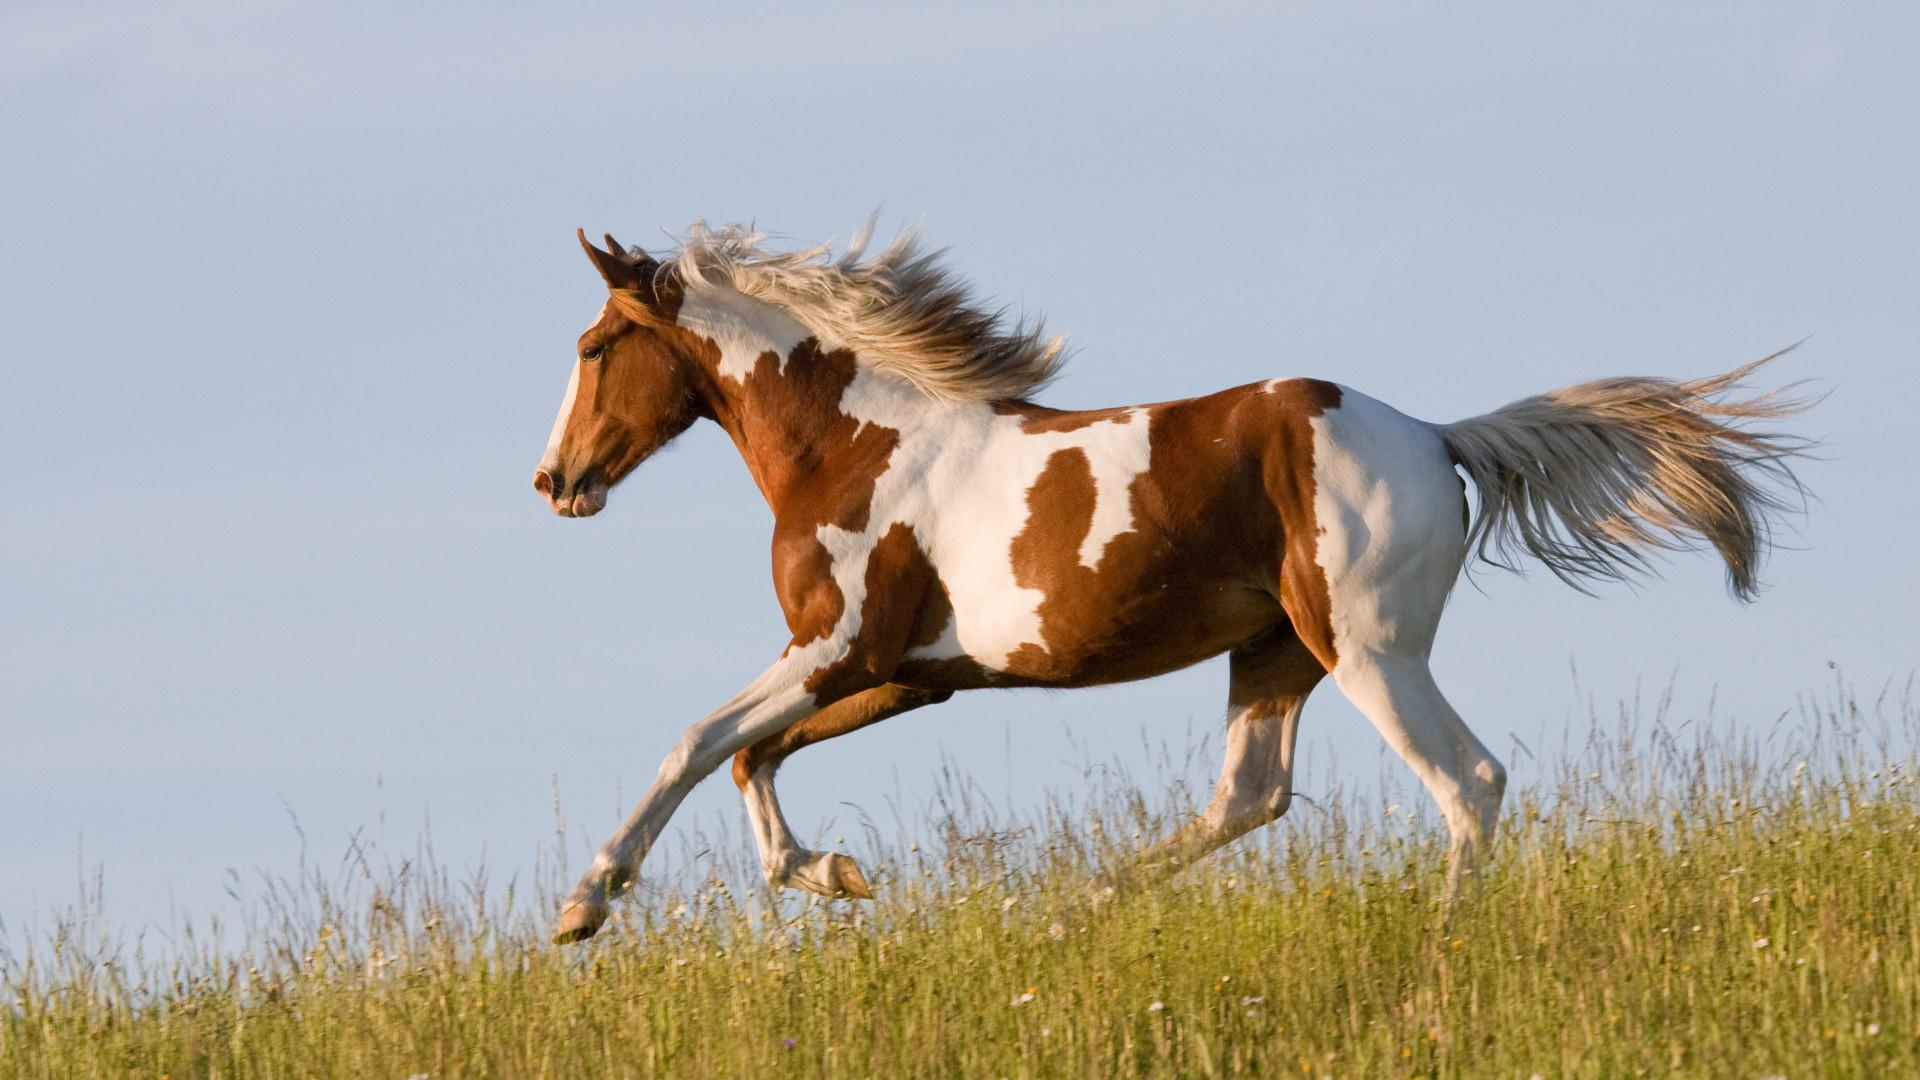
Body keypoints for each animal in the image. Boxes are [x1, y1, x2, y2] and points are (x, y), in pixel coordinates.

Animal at [533, 220, 1804, 941]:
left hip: (1369, 650)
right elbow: (754, 755)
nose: (553, 480)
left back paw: (1445, 947)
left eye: (594, 347)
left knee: (1469, 780)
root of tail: (1439, 437)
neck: (860, 445)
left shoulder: (837, 647)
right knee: (1249, 797)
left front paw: (585, 904)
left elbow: (697, 741)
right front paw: (839, 875)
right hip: (1275, 652)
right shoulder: (907, 672)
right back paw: (1066, 915)